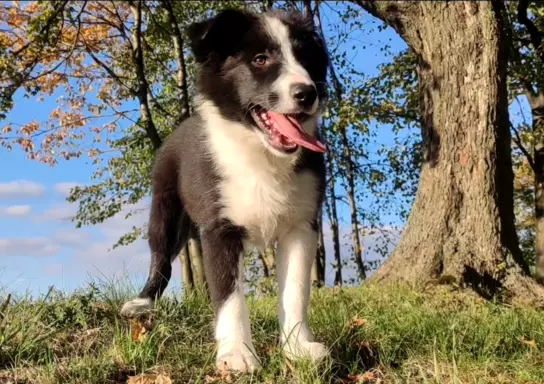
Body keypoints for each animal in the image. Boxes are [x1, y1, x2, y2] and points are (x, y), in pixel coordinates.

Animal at [120, 6, 330, 372]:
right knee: (160, 259)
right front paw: (237, 354)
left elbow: (295, 289)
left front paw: (298, 348)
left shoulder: (301, 225)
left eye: (306, 59)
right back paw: (142, 303)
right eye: (260, 59)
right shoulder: (219, 228)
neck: (259, 153)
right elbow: (229, 296)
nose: (307, 93)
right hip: (165, 208)